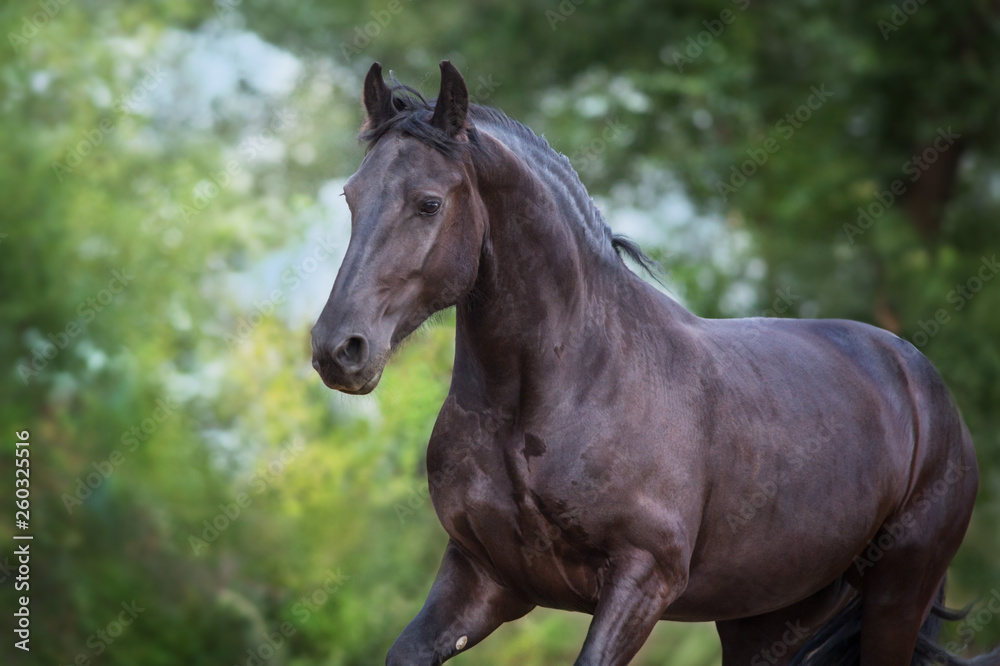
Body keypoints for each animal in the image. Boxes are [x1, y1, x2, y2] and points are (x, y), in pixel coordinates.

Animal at [310, 59, 992, 660]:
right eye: (351, 197)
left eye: (428, 203)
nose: (339, 350)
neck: (560, 389)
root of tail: (921, 382)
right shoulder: (483, 576)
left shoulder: (644, 580)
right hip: (770, 615)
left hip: (896, 593)